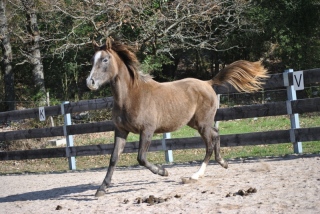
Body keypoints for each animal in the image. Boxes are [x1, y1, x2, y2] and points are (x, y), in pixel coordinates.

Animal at [85, 37, 268, 196]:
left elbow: (141, 158)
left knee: (209, 144)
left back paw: (195, 175)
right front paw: (101, 189)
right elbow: (113, 159)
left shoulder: (147, 131)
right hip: (196, 123)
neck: (131, 96)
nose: (90, 82)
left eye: (105, 60)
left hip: (202, 124)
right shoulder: (121, 131)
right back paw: (222, 163)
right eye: (92, 59)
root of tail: (207, 83)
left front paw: (163, 171)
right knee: (216, 134)